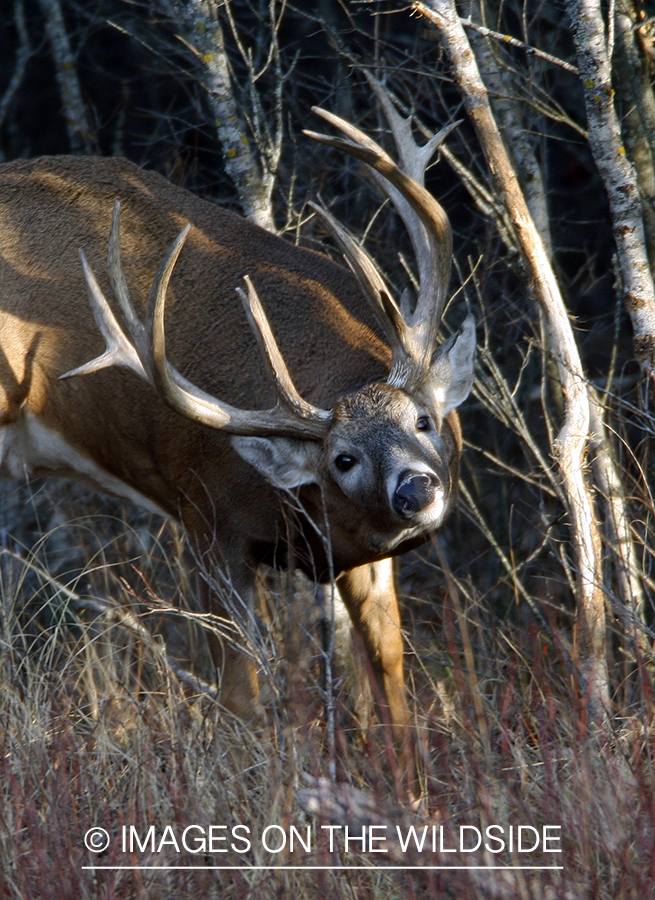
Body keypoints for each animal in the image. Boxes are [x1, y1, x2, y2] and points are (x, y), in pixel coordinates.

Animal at [0, 86, 474, 740]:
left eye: (423, 421)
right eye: (342, 459)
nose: (415, 490)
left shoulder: (363, 560)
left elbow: (391, 694)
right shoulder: (207, 521)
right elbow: (241, 702)